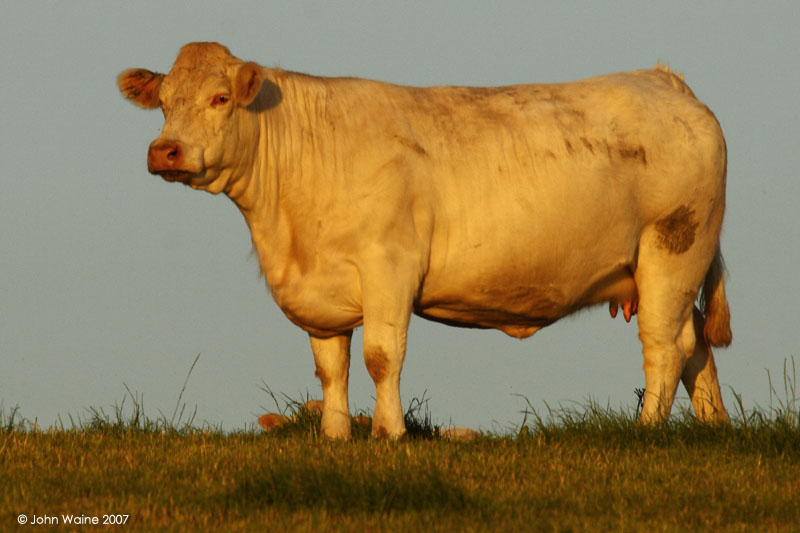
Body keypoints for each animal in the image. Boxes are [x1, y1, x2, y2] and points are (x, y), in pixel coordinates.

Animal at [117, 41, 732, 438]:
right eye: (165, 102)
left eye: (221, 99)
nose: (164, 151)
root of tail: (660, 78)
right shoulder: (321, 290)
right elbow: (330, 366)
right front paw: (335, 438)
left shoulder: (389, 265)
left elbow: (381, 356)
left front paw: (388, 435)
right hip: (675, 266)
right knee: (696, 341)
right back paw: (715, 428)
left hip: (673, 248)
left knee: (664, 345)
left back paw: (647, 431)